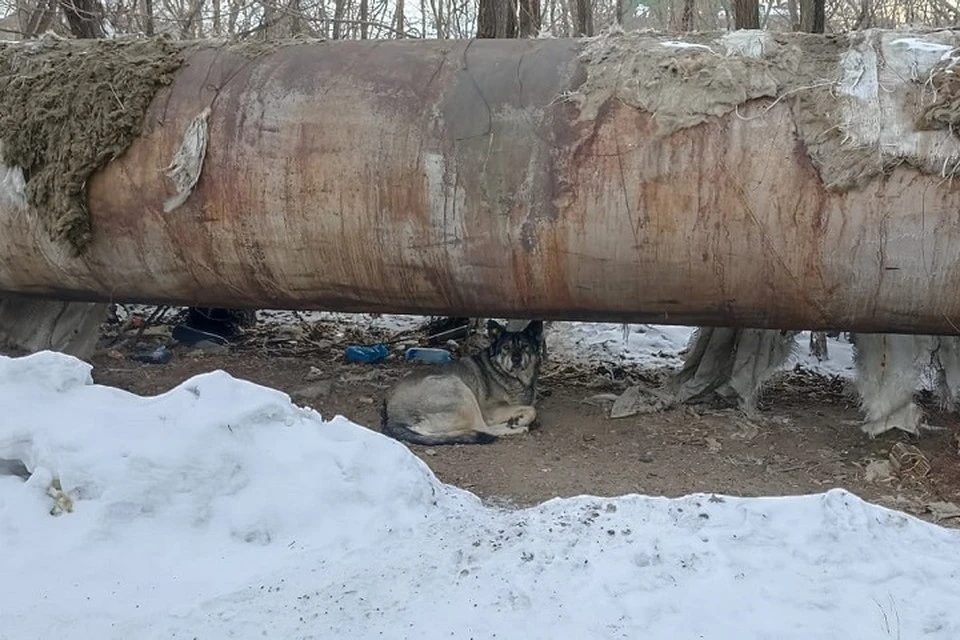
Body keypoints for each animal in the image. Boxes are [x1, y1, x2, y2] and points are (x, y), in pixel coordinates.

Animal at [384, 318, 548, 444]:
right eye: (506, 347)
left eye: (525, 347)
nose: (516, 359)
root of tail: (392, 416)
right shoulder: (492, 410)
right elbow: (532, 409)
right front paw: (518, 420)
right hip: (461, 392)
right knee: (483, 428)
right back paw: (516, 427)